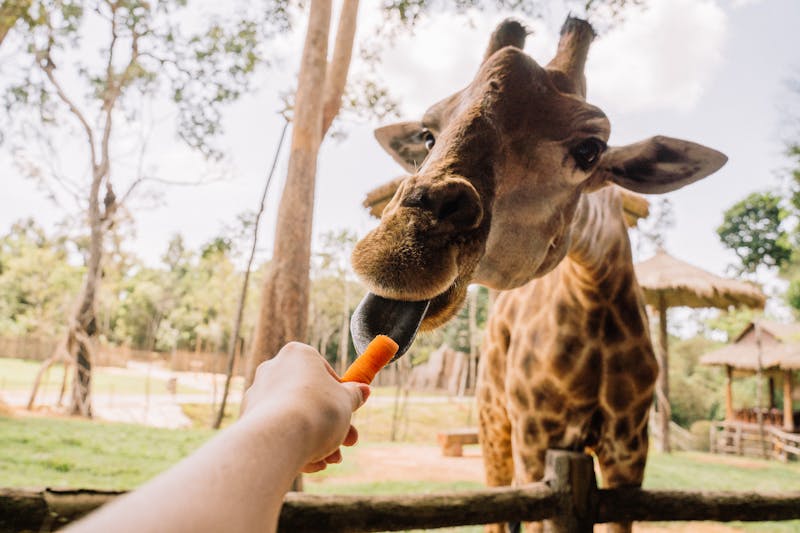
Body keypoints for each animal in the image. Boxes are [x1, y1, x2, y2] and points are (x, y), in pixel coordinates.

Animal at [349, 16, 727, 533]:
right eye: (428, 135)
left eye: (590, 149)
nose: (398, 252)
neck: (595, 295)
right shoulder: (535, 437)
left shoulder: (629, 451)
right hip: (493, 422)